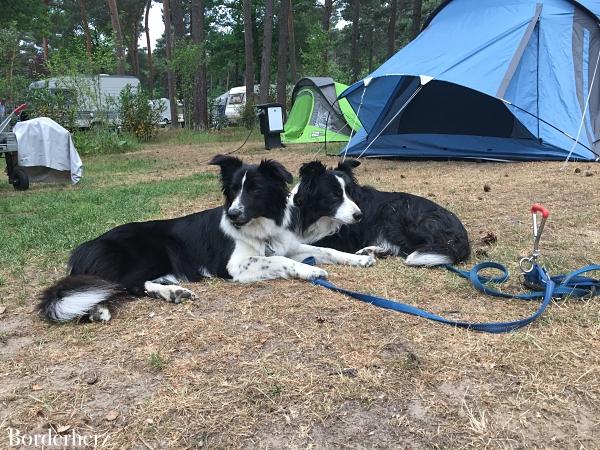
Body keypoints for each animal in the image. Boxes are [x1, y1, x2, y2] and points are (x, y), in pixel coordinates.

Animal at [38, 156, 370, 324]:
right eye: (234, 190)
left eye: (256, 190)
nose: (233, 214)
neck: (259, 226)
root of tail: (85, 247)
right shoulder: (237, 265)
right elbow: (280, 260)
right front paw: (310, 270)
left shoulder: (290, 244)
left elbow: (323, 249)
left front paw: (359, 257)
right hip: (153, 251)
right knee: (119, 286)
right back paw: (102, 308)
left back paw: (172, 292)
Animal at [292, 159, 472, 266]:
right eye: (334, 195)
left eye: (351, 193)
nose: (359, 216)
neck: (318, 217)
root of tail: (461, 235)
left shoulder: (343, 240)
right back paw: (371, 250)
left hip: (396, 211)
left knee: (408, 248)